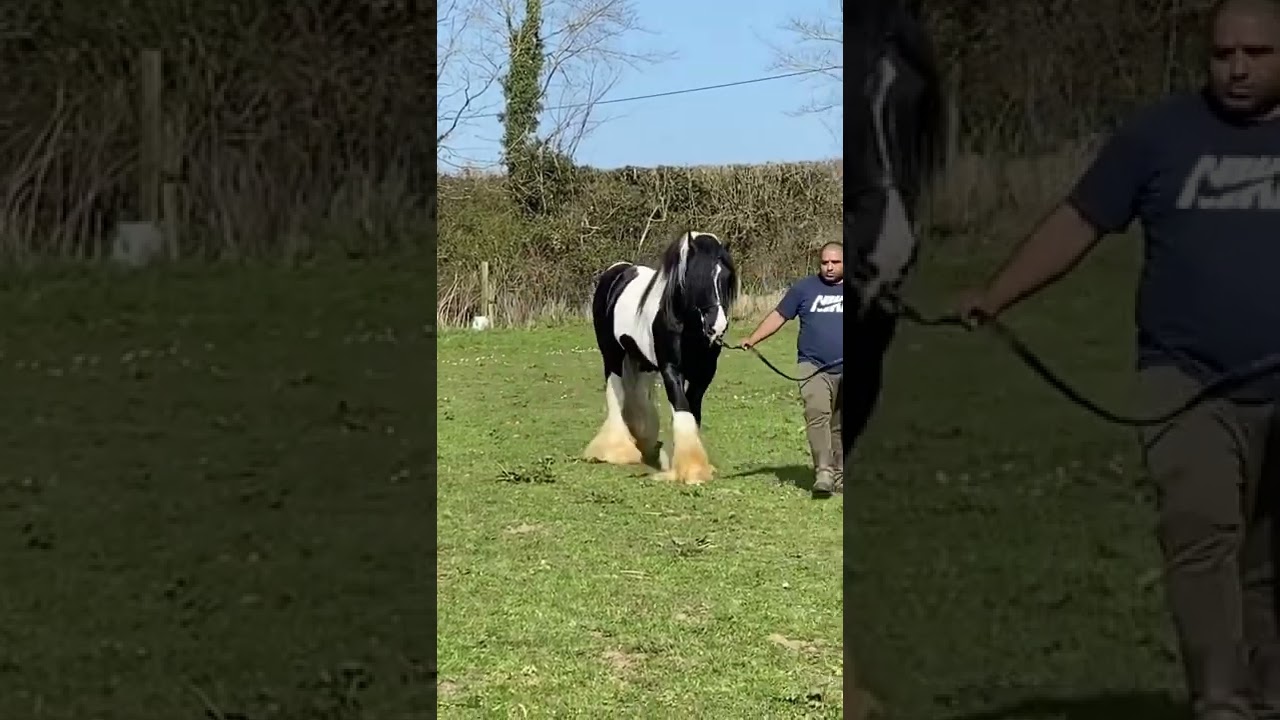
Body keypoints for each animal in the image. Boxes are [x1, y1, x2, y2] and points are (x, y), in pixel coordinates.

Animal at [581, 230, 738, 486]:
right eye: (696, 277)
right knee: (617, 394)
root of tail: (618, 271)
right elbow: (682, 408)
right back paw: (616, 450)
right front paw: (692, 471)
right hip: (612, 355)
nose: (717, 327)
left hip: (641, 361)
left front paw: (677, 461)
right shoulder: (671, 369)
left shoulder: (704, 374)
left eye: (726, 277)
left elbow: (690, 410)